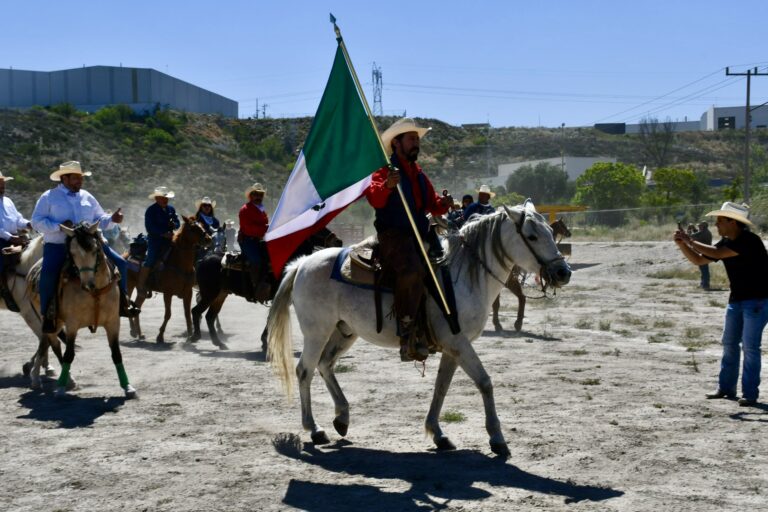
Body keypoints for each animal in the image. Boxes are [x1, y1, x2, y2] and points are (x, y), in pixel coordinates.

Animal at [27, 222, 136, 398]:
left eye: (94, 249)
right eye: (72, 253)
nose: (87, 284)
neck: (95, 292)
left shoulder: (113, 323)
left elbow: (116, 354)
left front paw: (128, 386)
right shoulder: (72, 325)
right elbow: (69, 354)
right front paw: (60, 389)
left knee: (44, 342)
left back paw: (39, 378)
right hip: (50, 320)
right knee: (53, 344)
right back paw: (59, 380)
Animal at [127, 214, 212, 342]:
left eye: (202, 225)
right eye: (192, 228)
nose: (208, 239)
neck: (180, 263)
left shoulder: (188, 292)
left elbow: (187, 313)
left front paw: (189, 335)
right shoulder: (168, 293)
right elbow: (168, 314)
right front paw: (160, 336)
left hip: (141, 291)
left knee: (137, 306)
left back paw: (139, 333)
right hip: (129, 285)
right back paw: (133, 331)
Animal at [190, 229, 340, 352]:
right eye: (320, 228)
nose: (338, 240)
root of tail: (203, 259)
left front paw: (264, 342)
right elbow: (271, 318)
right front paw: (264, 343)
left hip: (220, 295)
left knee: (210, 316)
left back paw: (219, 343)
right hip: (210, 294)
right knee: (196, 311)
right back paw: (195, 337)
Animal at [270, 200, 568, 456]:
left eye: (550, 232)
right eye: (531, 236)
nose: (563, 272)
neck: (462, 274)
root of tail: (302, 264)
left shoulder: (452, 347)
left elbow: (441, 386)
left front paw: (438, 433)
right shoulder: (459, 343)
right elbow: (485, 382)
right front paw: (497, 439)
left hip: (344, 331)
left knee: (325, 365)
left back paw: (342, 417)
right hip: (316, 332)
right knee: (305, 370)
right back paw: (314, 429)